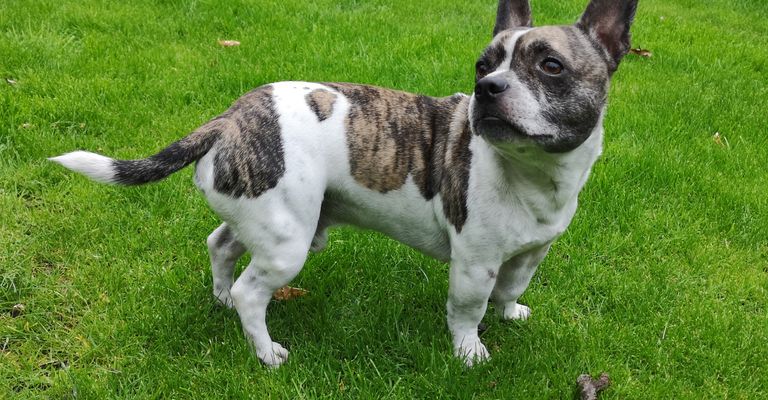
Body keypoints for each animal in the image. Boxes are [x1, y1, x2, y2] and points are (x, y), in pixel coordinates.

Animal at [49, 0, 636, 368]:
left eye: (551, 66)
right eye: (482, 65)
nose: (486, 88)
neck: (534, 171)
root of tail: (228, 120)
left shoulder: (532, 252)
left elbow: (513, 287)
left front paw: (511, 314)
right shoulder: (474, 265)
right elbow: (468, 311)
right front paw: (470, 353)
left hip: (270, 217)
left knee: (220, 246)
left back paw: (219, 301)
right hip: (288, 243)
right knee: (250, 291)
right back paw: (266, 352)